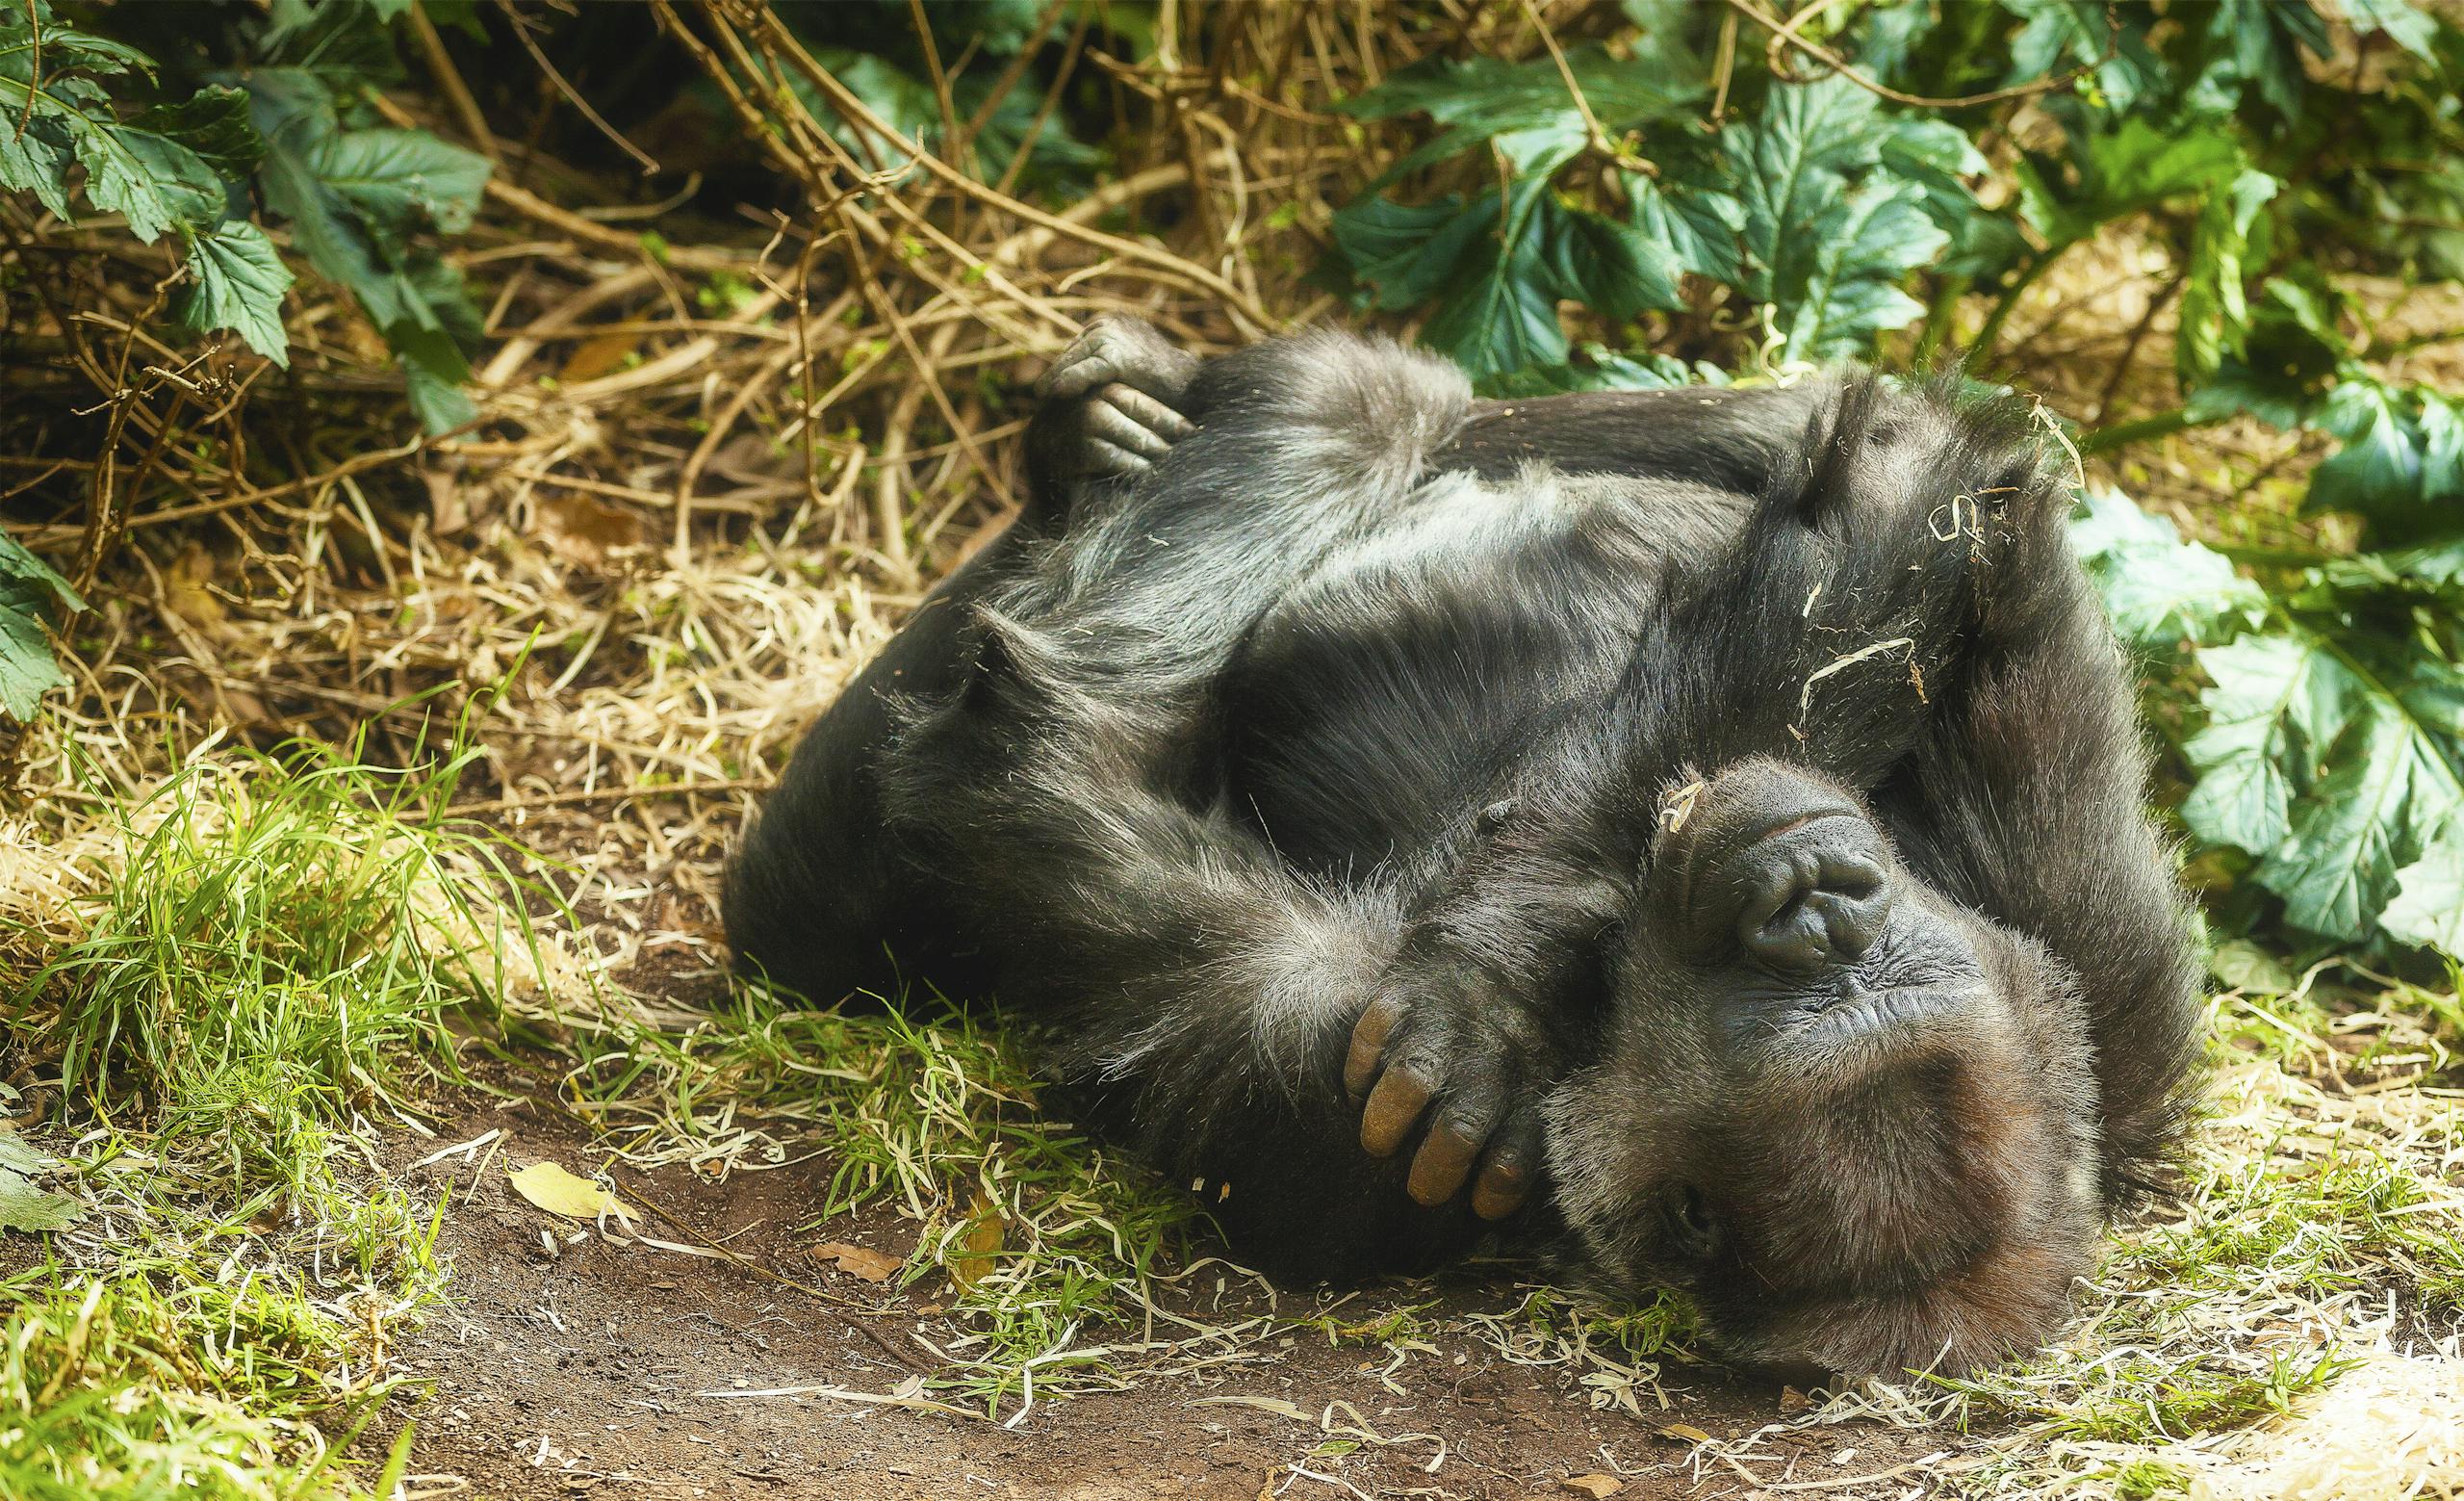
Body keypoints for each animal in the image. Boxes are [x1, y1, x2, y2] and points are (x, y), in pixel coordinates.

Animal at [719, 318, 2207, 1380]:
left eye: (1822, 988)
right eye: (1864, 954)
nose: (1810, 899)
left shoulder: (1321, 1063)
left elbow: (1044, 771)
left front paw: (1487, 982)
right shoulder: (2095, 950)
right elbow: (1921, 495)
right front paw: (1503, 966)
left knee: (1054, 682)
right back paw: (1106, 420)